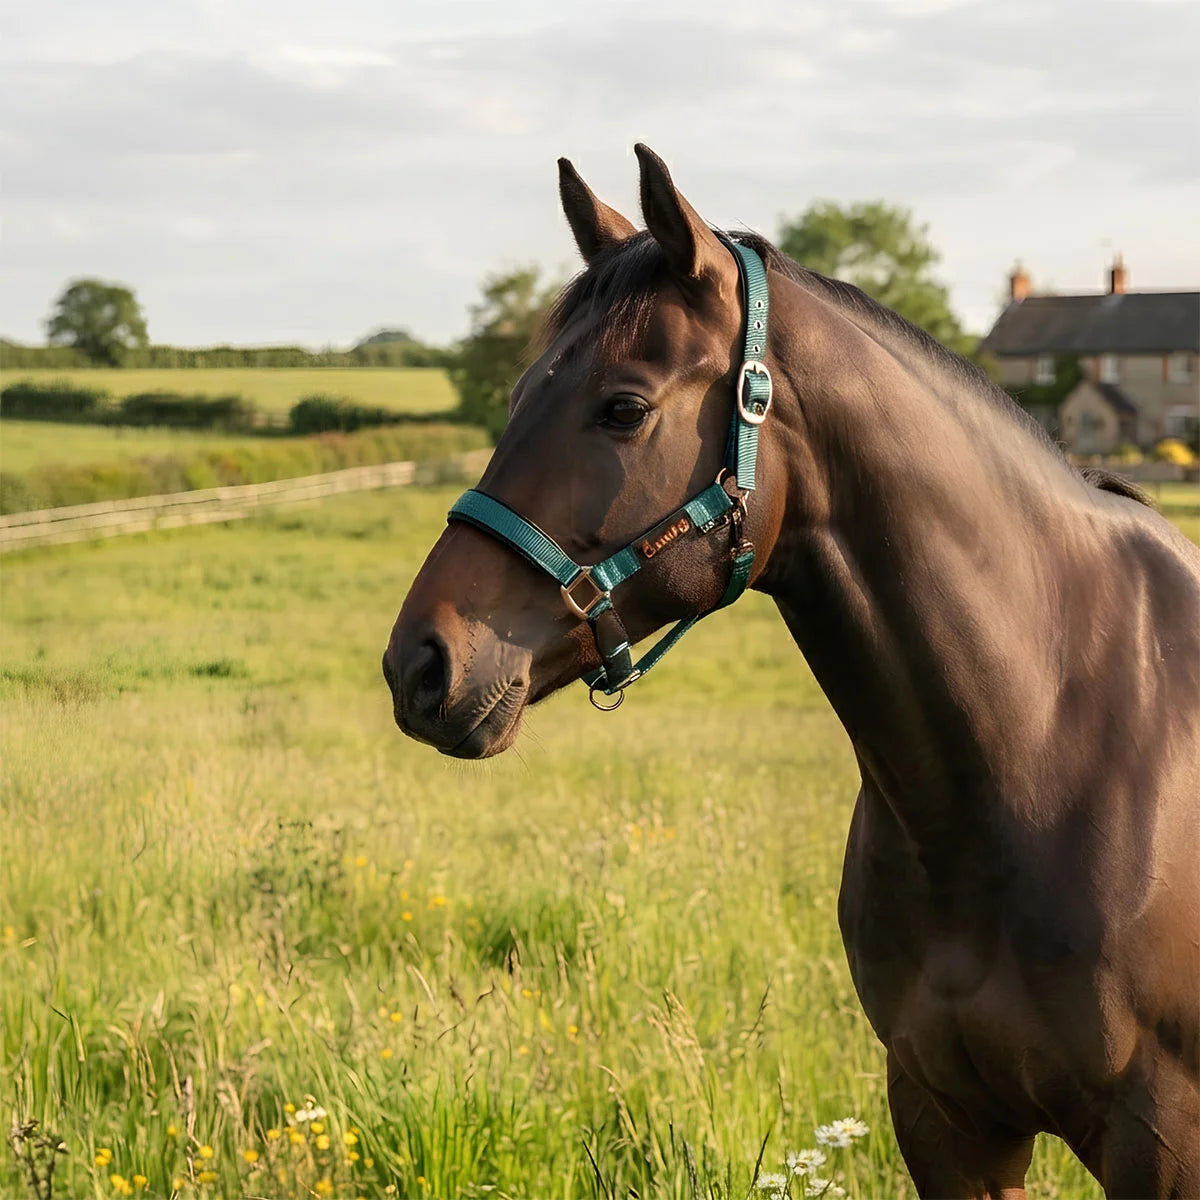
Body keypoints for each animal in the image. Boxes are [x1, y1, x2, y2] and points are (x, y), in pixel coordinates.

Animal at [383, 145, 1200, 1199]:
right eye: (519, 393)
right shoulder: (946, 1120)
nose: (421, 663)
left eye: (623, 408)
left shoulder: (1163, 1139)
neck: (1053, 750)